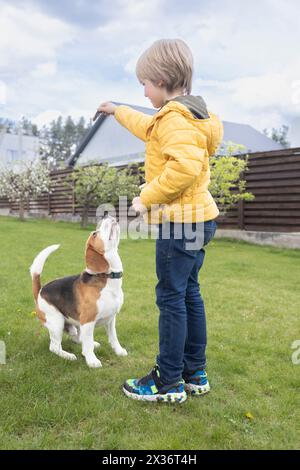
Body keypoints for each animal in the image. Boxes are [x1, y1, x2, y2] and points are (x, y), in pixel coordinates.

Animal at [28, 212, 126, 368]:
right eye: (95, 234)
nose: (106, 214)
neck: (107, 278)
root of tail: (40, 291)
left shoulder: (111, 319)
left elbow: (113, 338)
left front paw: (119, 351)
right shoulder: (88, 321)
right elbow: (88, 346)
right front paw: (92, 361)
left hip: (74, 324)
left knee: (77, 338)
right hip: (57, 322)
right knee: (55, 347)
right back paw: (68, 356)